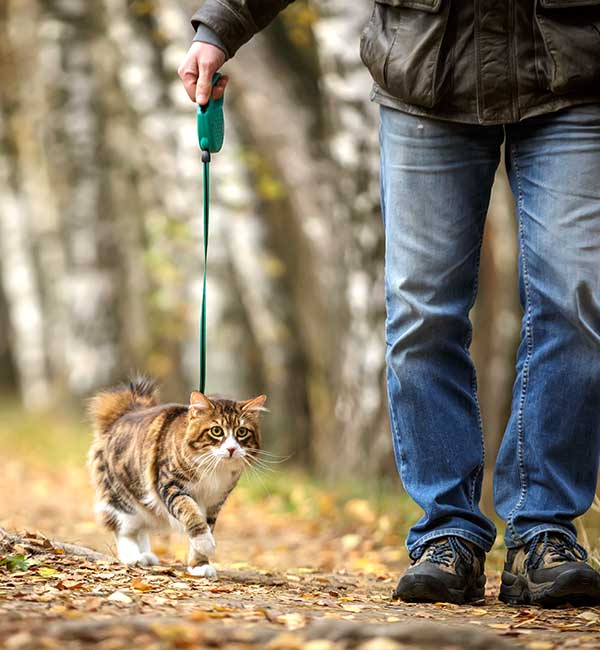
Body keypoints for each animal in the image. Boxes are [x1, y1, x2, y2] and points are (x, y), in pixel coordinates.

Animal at [88, 378, 266, 576]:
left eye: (242, 432)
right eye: (216, 431)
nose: (232, 449)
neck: (215, 469)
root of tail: (125, 413)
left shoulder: (214, 502)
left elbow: (206, 526)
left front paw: (199, 565)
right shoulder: (172, 487)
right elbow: (192, 515)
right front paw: (206, 544)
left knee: (140, 530)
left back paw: (147, 555)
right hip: (123, 500)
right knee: (125, 530)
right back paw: (133, 557)